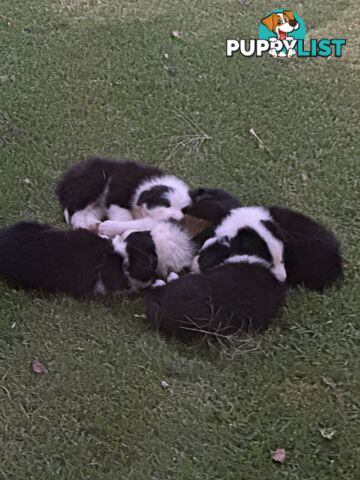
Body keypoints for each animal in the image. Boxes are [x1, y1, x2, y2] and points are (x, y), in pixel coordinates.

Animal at [55, 157, 191, 232]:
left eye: (183, 210)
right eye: (165, 204)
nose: (175, 220)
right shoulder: (116, 195)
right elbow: (124, 216)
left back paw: (94, 224)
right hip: (92, 184)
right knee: (75, 213)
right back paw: (82, 226)